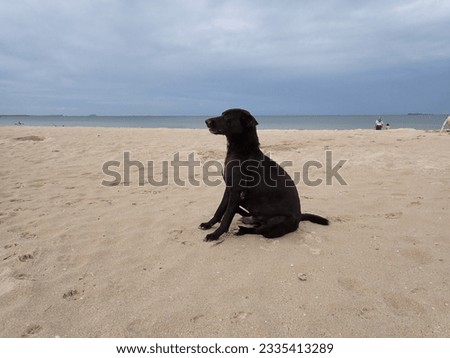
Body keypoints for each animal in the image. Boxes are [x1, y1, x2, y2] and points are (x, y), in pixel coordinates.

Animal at [199, 107, 328, 241]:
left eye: (227, 117)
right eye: (222, 114)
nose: (206, 121)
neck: (242, 151)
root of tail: (299, 217)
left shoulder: (235, 192)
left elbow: (226, 217)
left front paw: (215, 234)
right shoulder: (229, 189)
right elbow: (220, 210)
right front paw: (208, 224)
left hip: (276, 223)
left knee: (258, 230)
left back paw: (241, 230)